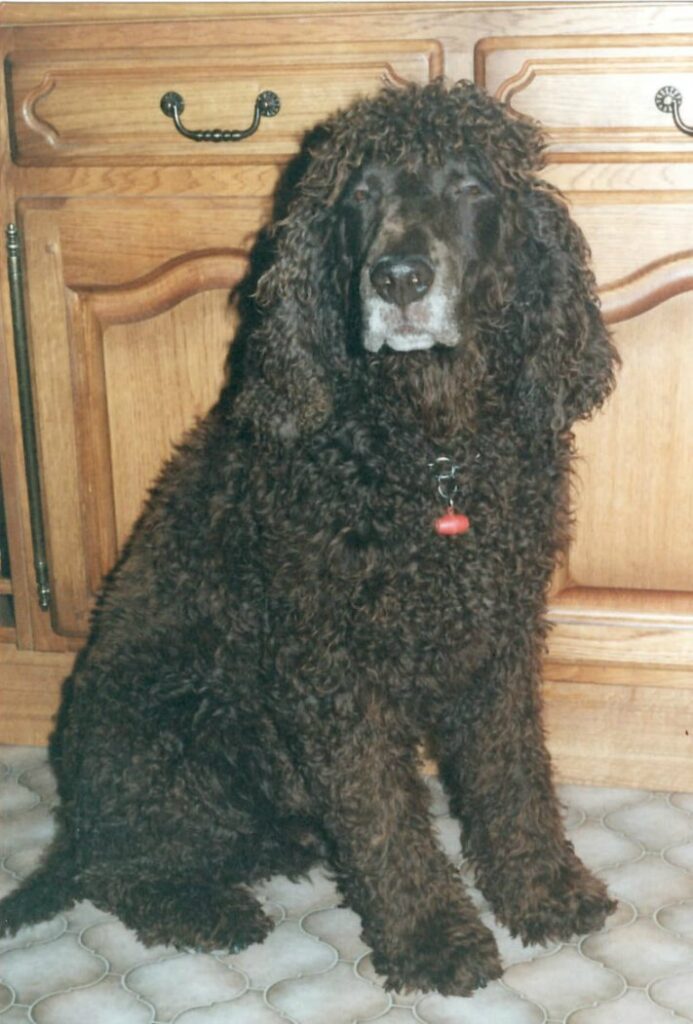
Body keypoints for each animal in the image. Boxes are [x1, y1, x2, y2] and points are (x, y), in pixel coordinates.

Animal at [0, 83, 618, 995]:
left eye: (471, 186)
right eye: (358, 193)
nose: (398, 277)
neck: (428, 452)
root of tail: (78, 815)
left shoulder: (495, 643)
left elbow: (512, 783)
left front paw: (542, 890)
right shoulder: (332, 672)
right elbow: (385, 823)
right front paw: (431, 936)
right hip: (173, 726)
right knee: (122, 868)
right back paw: (208, 908)